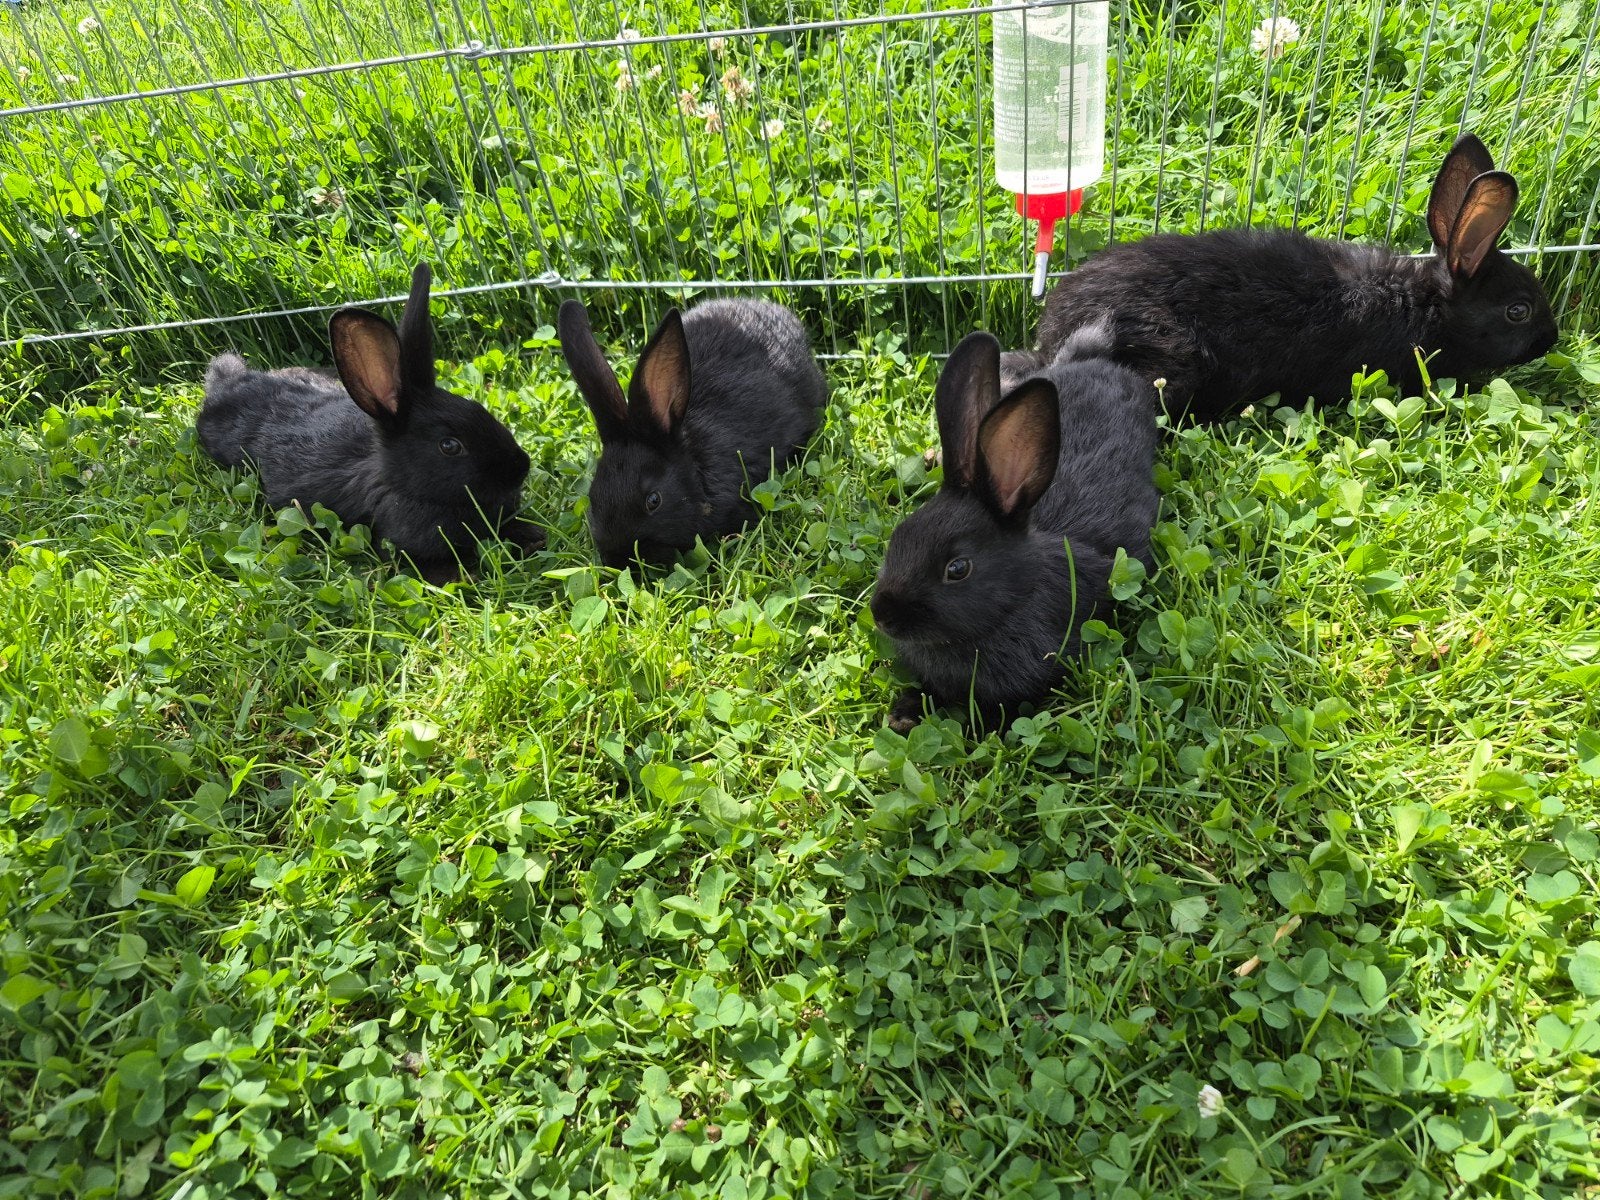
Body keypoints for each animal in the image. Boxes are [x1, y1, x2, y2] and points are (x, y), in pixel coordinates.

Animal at [197, 264, 544, 583]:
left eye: (479, 408)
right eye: (449, 445)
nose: (521, 466)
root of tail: (227, 384)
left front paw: (533, 539)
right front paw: (460, 577)